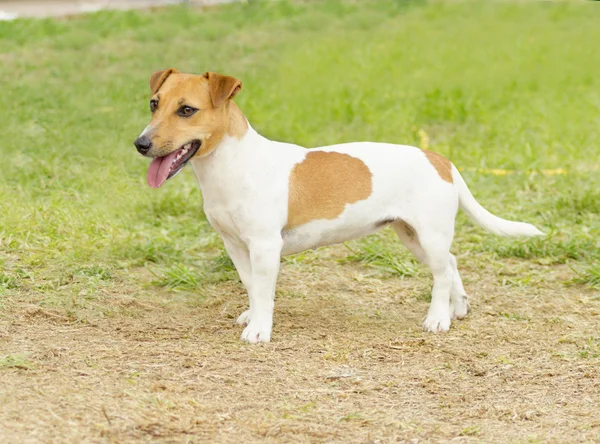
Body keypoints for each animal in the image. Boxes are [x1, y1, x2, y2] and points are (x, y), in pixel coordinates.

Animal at [136, 68, 544, 344]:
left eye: (187, 110)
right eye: (154, 104)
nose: (141, 144)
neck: (231, 165)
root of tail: (439, 158)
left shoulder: (266, 246)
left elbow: (264, 290)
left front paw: (260, 329)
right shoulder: (236, 246)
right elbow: (251, 286)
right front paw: (252, 316)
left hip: (429, 234)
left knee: (442, 275)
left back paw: (437, 318)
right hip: (414, 237)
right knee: (451, 264)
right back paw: (456, 309)